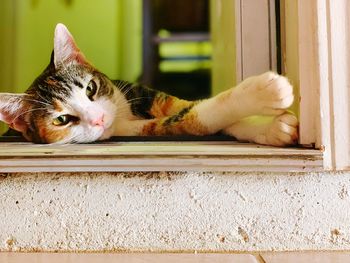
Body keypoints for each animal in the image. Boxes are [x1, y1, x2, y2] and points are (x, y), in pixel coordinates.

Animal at [0, 23, 298, 145]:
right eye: (61, 120)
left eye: (90, 89)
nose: (98, 119)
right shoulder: (138, 130)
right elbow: (196, 116)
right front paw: (262, 94)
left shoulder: (142, 95)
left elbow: (188, 105)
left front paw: (267, 128)